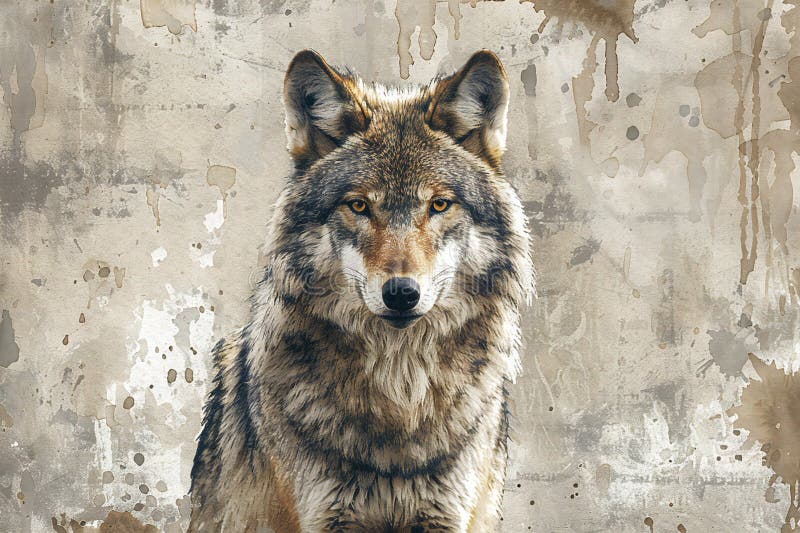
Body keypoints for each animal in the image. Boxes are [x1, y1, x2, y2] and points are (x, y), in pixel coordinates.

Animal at [188, 49, 534, 532]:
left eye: (439, 204)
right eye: (358, 205)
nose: (402, 293)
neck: (400, 389)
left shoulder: (446, 516)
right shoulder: (326, 516)